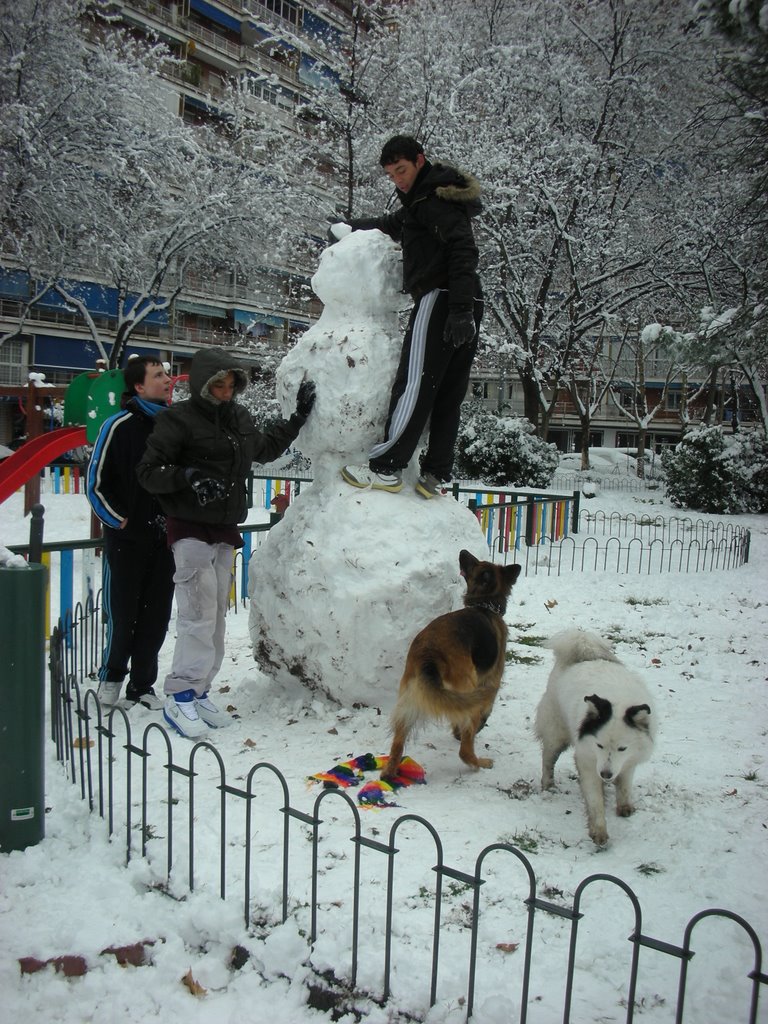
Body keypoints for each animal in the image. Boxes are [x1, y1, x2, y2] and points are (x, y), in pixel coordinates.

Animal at [382, 552, 528, 782]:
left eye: (474, 562)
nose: (463, 551)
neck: (485, 604)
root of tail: (429, 653)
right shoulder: (492, 680)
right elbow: (486, 712)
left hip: (410, 701)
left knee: (397, 745)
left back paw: (389, 772)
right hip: (470, 692)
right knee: (465, 751)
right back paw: (480, 763)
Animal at [536, 630, 655, 847]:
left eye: (623, 748)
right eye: (599, 745)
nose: (606, 774)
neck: (618, 700)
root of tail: (582, 652)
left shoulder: (628, 761)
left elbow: (624, 785)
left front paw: (624, 806)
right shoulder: (587, 760)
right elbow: (594, 800)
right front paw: (599, 831)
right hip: (557, 733)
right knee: (548, 758)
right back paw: (548, 784)